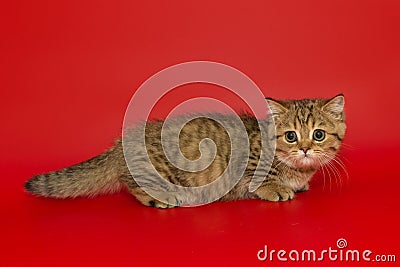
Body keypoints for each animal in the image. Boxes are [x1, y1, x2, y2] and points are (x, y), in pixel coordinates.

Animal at [23, 95, 346, 208]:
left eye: (318, 134)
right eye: (291, 136)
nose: (305, 149)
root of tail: (119, 146)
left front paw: (300, 184)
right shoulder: (248, 162)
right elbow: (260, 179)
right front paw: (277, 188)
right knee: (132, 183)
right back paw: (159, 197)